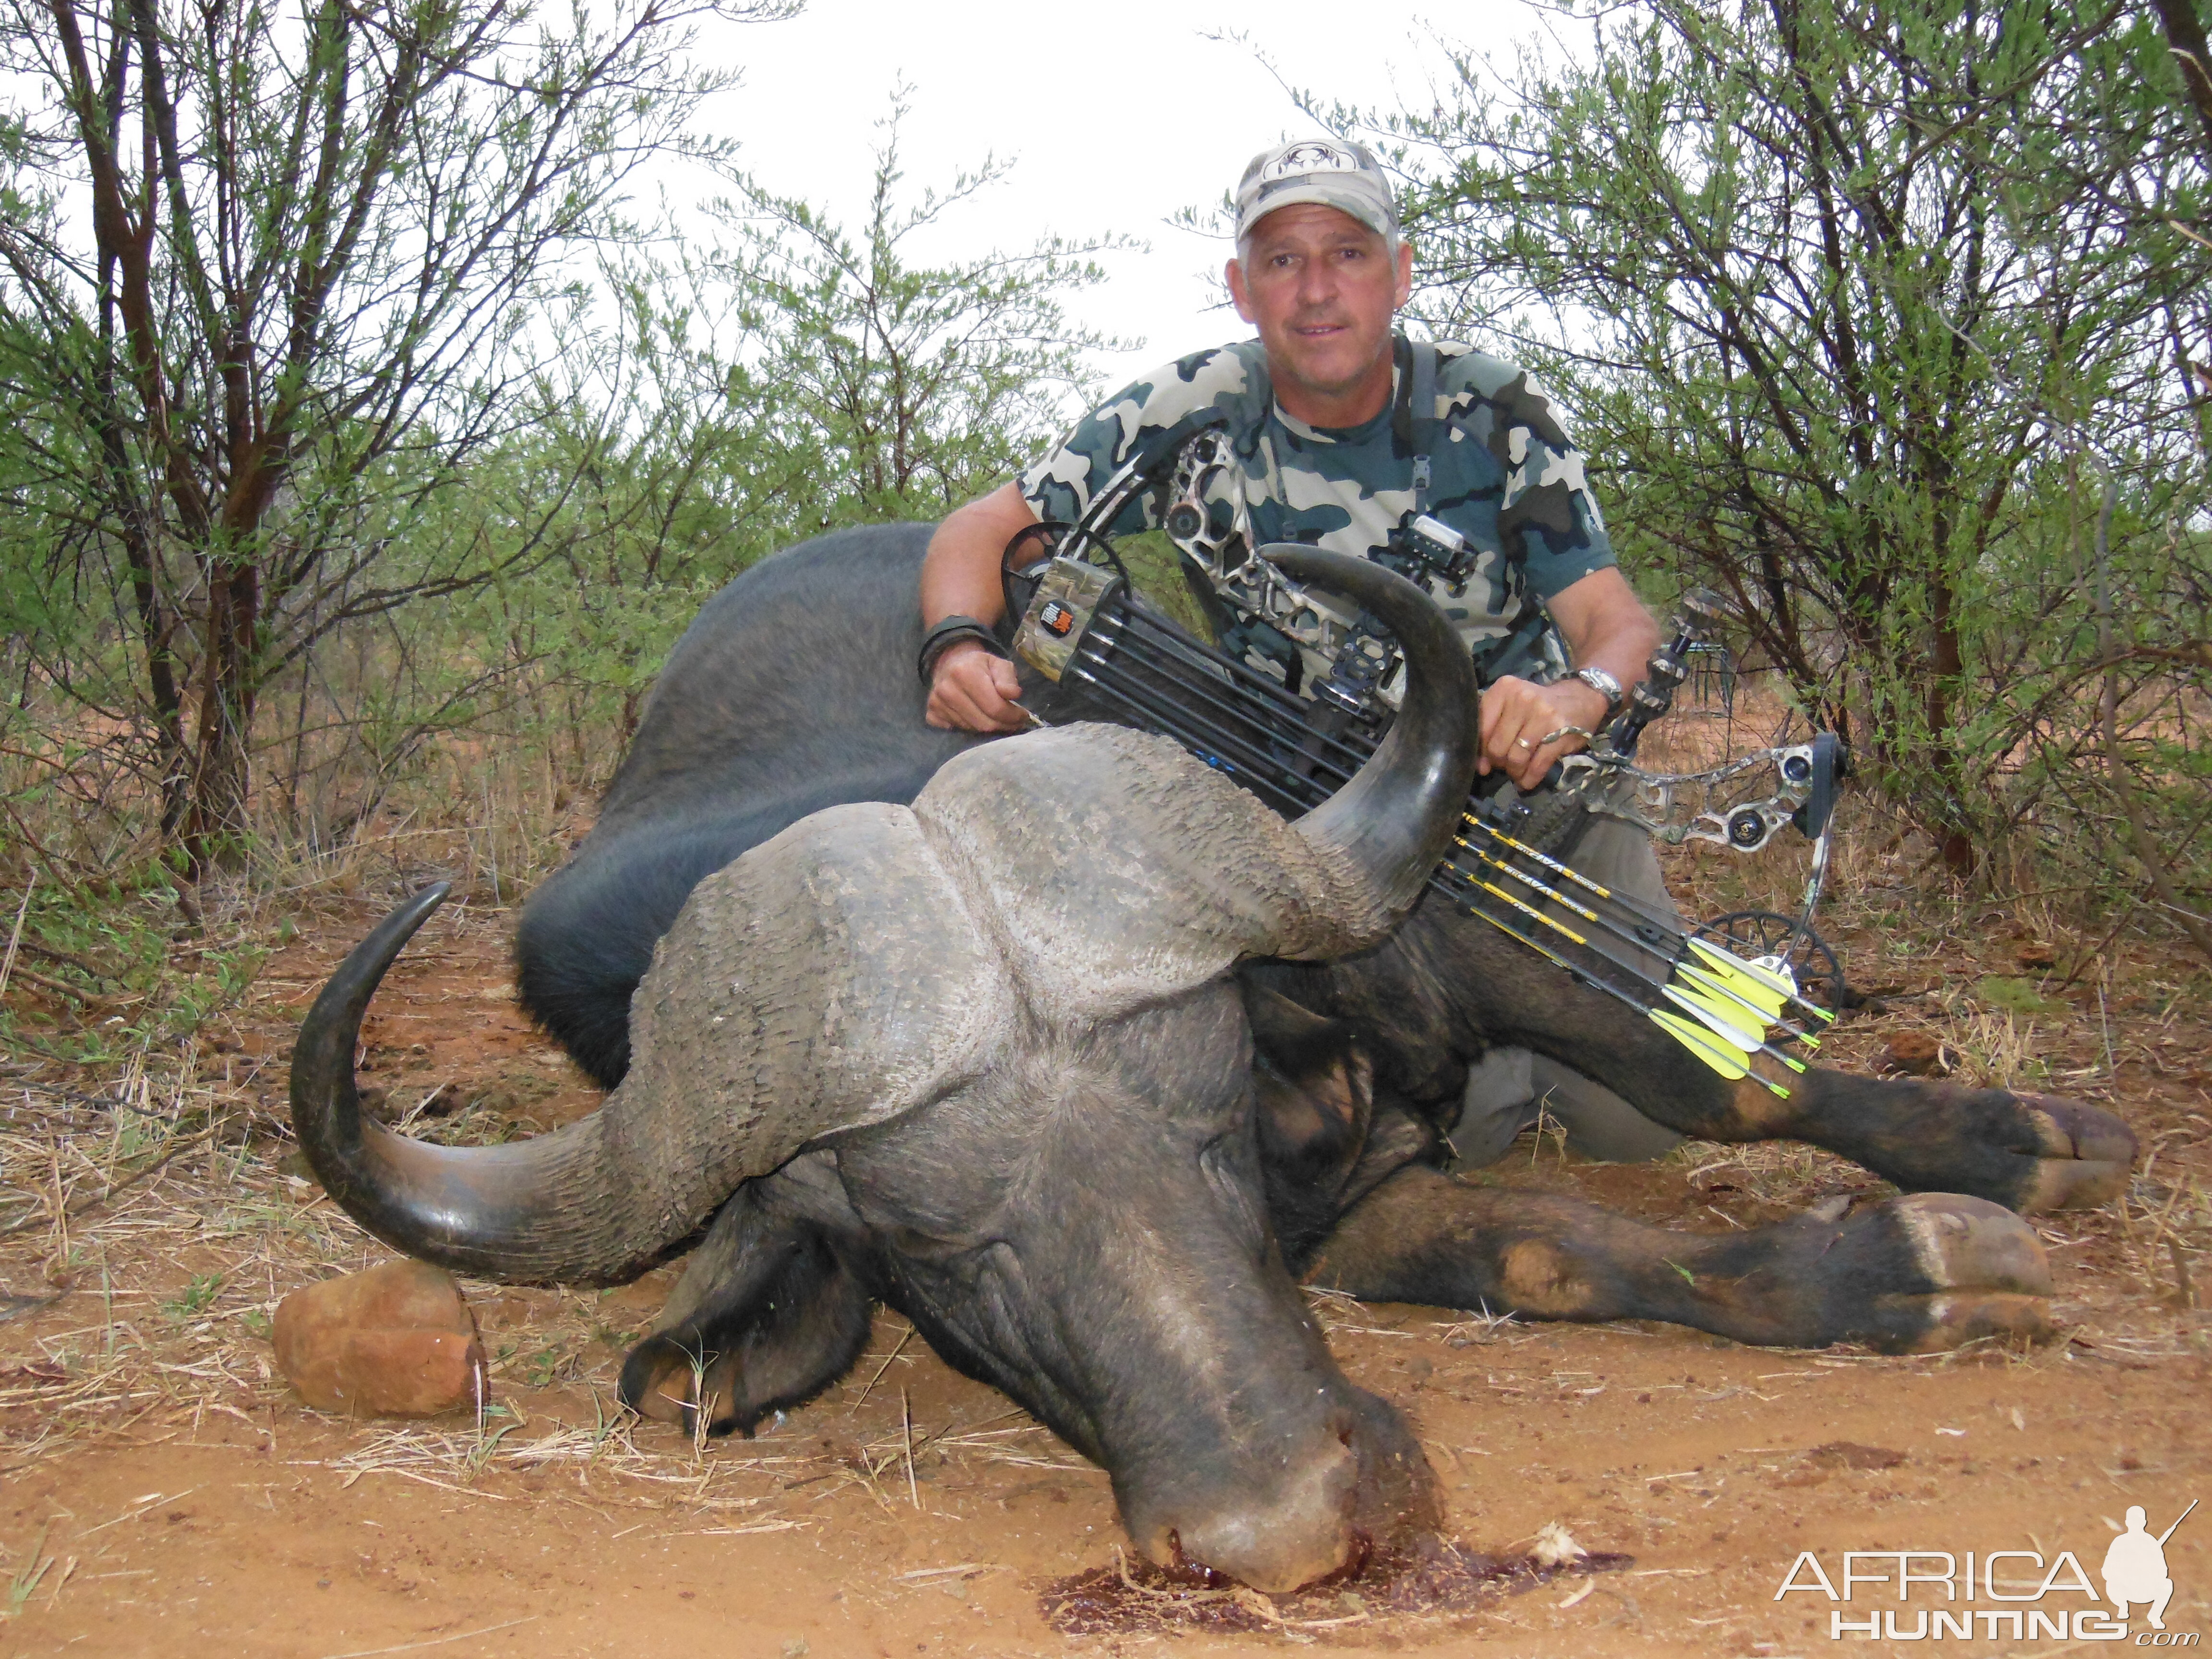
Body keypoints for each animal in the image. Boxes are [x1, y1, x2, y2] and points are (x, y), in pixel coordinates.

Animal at [285, 535, 2132, 1601]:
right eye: (940, 1255)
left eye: (1207, 1122)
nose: (1291, 1530)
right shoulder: (1364, 1216)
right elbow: (1552, 1249)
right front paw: (1909, 1267)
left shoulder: (1418, 930)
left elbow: (1711, 1076)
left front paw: (1997, 1159)